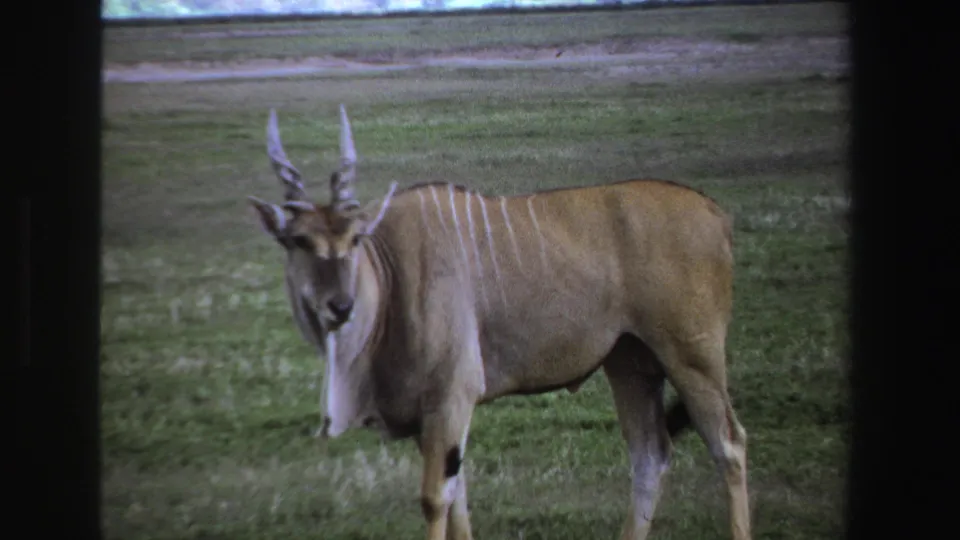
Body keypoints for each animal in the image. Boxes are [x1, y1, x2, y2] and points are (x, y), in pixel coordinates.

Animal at [246, 105, 752, 540]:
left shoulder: (451, 397)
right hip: (630, 361)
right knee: (650, 455)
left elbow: (435, 500)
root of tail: (716, 214)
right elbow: (458, 500)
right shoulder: (436, 417)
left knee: (729, 445)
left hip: (691, 357)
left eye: (354, 238)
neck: (388, 277)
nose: (340, 306)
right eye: (298, 240)